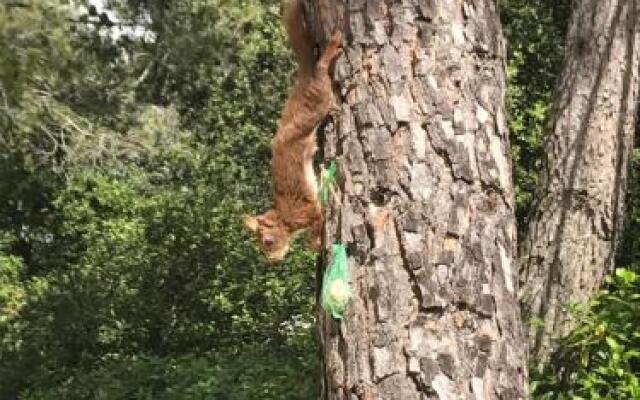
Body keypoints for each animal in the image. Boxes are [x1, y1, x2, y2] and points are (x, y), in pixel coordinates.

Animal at [245, 0, 342, 260]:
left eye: (267, 242)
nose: (271, 260)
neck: (283, 217)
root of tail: (303, 77)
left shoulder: (307, 210)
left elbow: (317, 221)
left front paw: (316, 243)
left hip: (318, 97)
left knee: (322, 69)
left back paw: (331, 49)